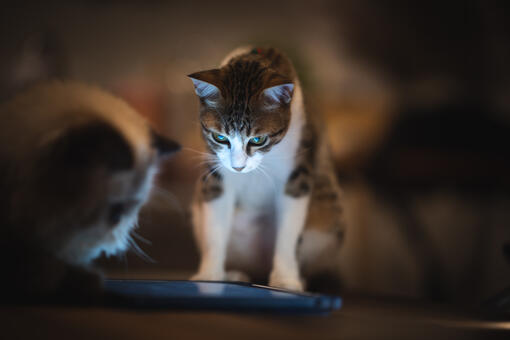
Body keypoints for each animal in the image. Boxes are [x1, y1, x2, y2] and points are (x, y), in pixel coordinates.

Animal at [189, 45, 344, 292]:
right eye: (220, 137)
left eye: (258, 139)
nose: (238, 166)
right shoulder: (217, 175)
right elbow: (215, 228)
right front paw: (210, 275)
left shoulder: (297, 176)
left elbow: (288, 233)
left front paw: (285, 280)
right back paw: (233, 274)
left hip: (326, 220)